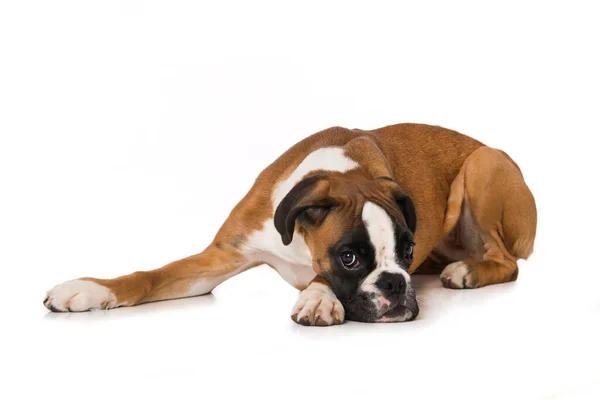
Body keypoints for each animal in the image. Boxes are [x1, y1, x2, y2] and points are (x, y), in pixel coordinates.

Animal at [43, 124, 540, 324]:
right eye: (350, 257)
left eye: (407, 251)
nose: (397, 283)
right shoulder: (219, 257)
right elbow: (150, 277)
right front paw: (89, 290)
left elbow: (318, 278)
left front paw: (318, 297)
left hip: (484, 164)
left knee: (508, 262)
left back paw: (467, 270)